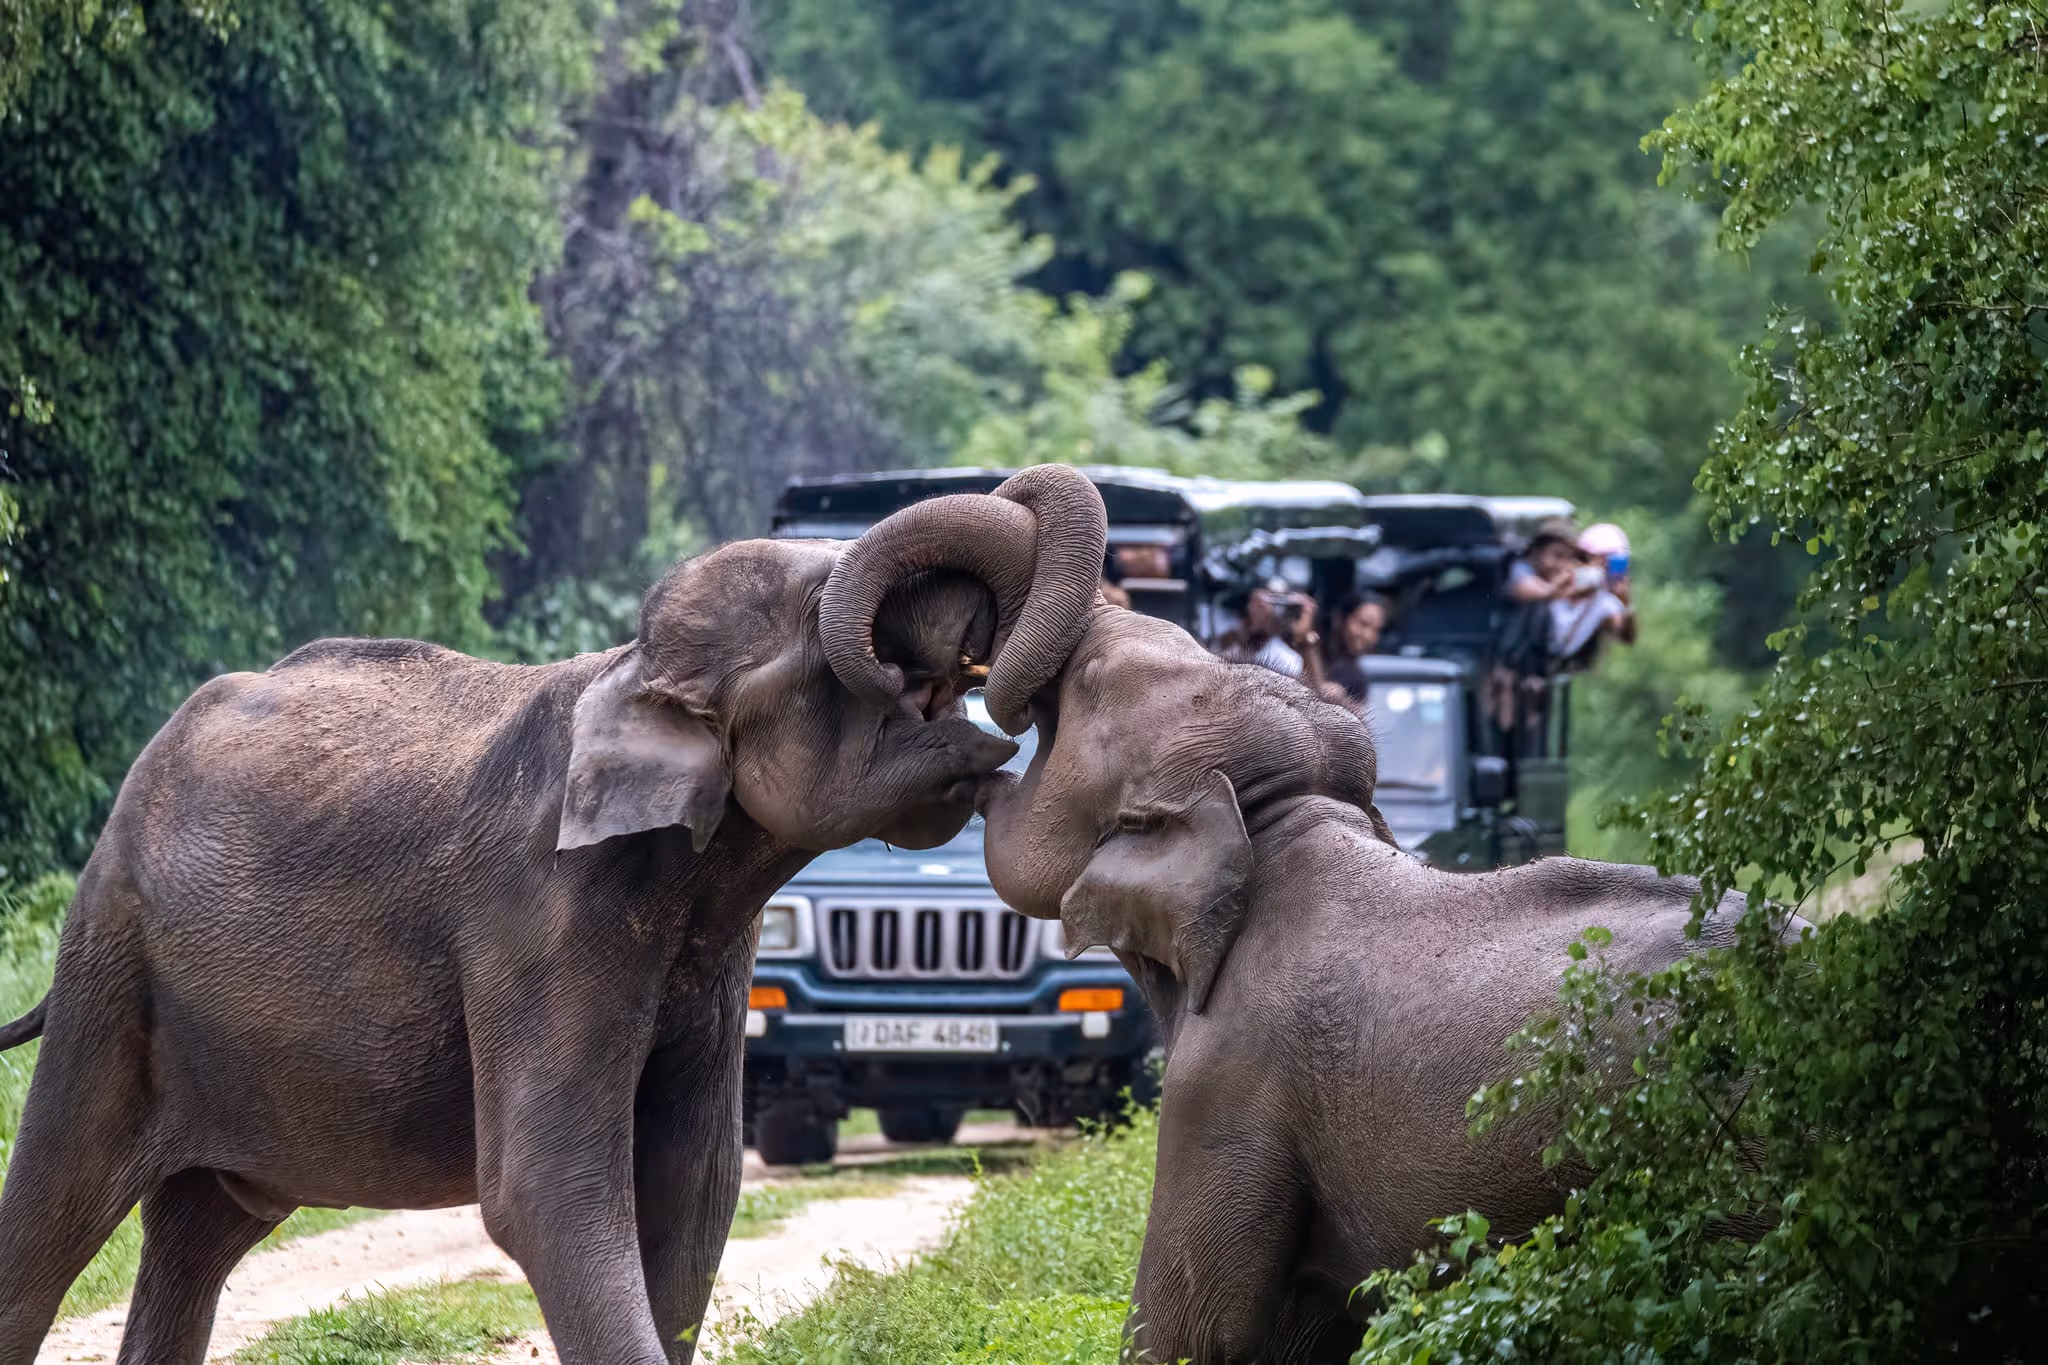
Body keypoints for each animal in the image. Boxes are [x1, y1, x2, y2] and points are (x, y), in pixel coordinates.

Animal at [0, 464, 1107, 1365]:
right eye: (814, 611)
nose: (1007, 701)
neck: (629, 674)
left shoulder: (717, 946)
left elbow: (693, 1191)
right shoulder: (539, 912)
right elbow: (548, 1192)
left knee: (200, 1229)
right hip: (112, 968)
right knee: (53, 1213)